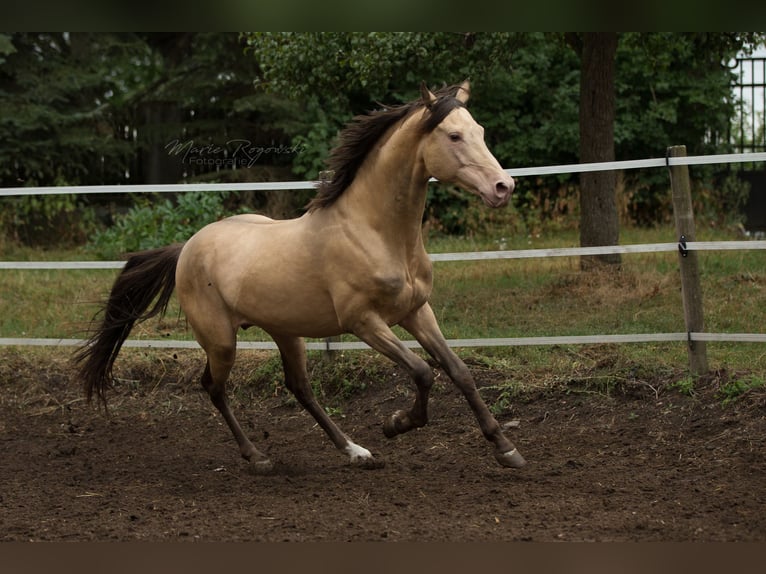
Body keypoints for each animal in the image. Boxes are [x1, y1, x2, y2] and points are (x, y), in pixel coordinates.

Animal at [75, 81, 526, 473]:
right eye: (454, 136)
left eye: (480, 132)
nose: (503, 187)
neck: (376, 232)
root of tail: (186, 247)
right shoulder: (364, 322)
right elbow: (422, 371)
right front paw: (396, 424)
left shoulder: (416, 312)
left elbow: (458, 371)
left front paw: (506, 449)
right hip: (221, 340)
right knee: (214, 388)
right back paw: (258, 457)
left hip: (286, 333)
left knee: (299, 388)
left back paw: (355, 452)